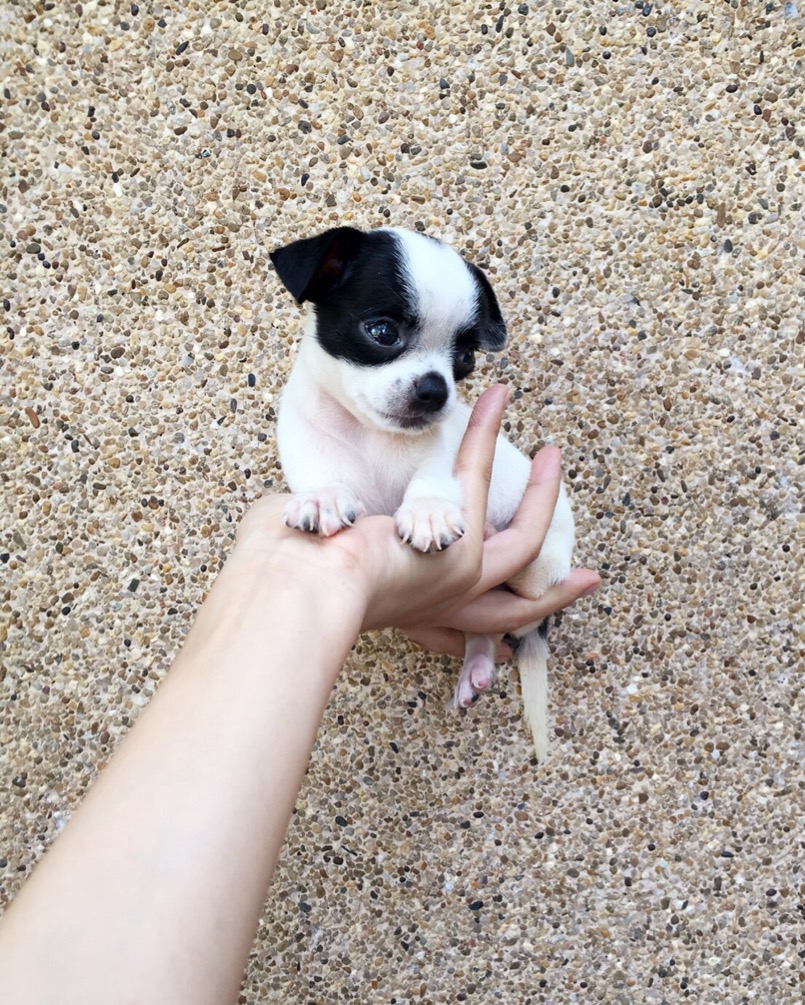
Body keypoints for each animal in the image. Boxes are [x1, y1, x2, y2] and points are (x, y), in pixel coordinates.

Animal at [270, 226, 575, 760]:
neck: (371, 435)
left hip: (545, 565)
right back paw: (477, 662)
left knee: (526, 586)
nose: (436, 389)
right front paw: (324, 497)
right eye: (382, 332)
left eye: (465, 359)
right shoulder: (306, 437)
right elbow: (319, 470)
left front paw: (428, 512)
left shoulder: (442, 452)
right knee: (486, 631)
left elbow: (430, 477)